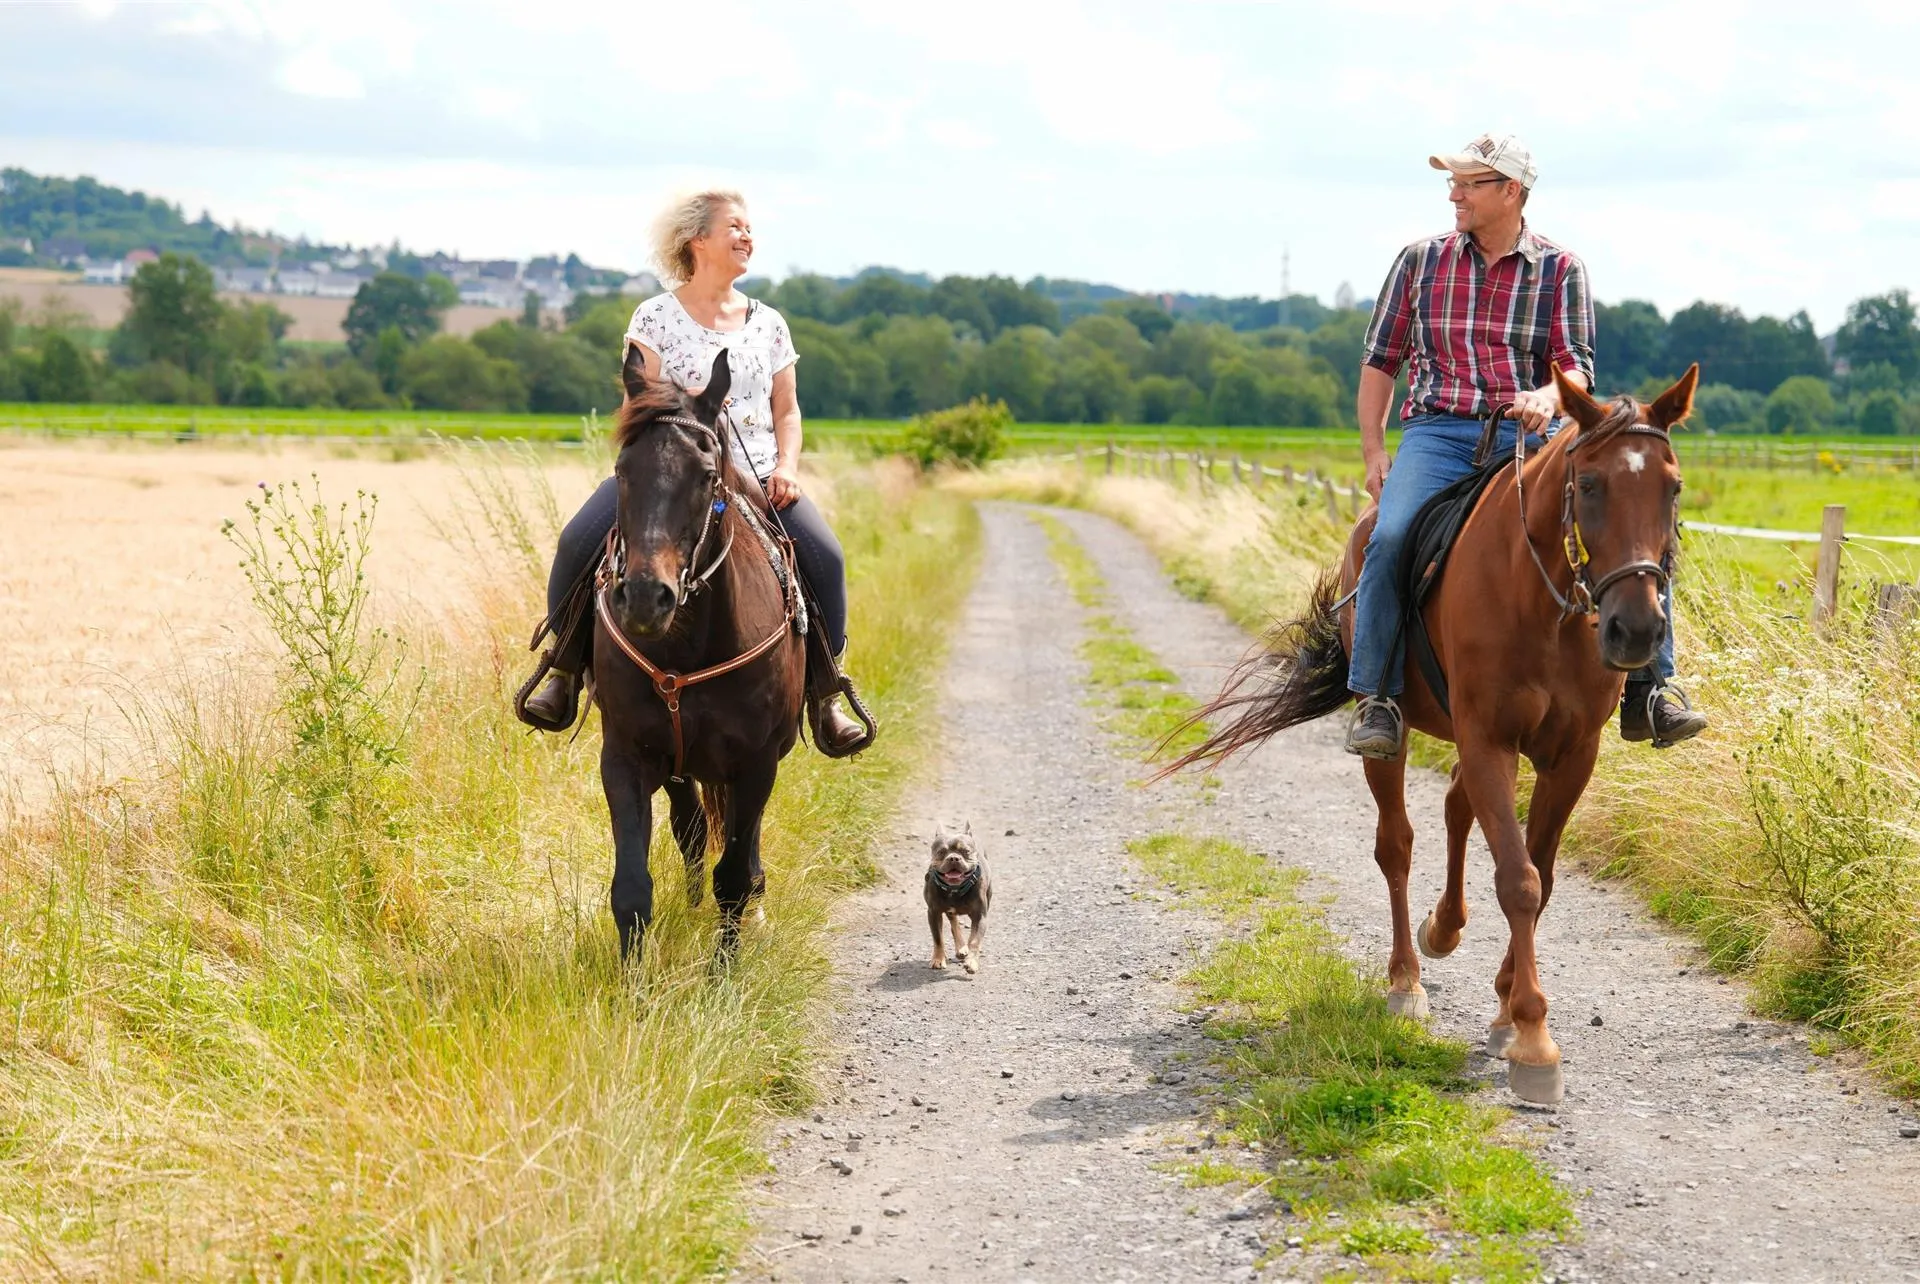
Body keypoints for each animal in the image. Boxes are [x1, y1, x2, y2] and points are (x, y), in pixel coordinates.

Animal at [599, 345, 810, 955]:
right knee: (691, 829)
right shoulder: (625, 756)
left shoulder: (757, 763)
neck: (688, 647)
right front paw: (634, 978)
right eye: (622, 471)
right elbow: (631, 888)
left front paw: (724, 970)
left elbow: (734, 877)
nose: (645, 597)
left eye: (706, 476)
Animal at [1167, 362, 1697, 1105]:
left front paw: (1506, 1014)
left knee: (1453, 807)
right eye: (1590, 484)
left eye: (1671, 487)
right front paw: (1534, 1038)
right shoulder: (1489, 740)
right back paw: (1407, 981)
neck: (1544, 603)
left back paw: (1443, 929)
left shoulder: (1572, 756)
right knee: (1397, 845)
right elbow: (1518, 879)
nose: (1638, 629)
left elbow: (1540, 876)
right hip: (1395, 741)